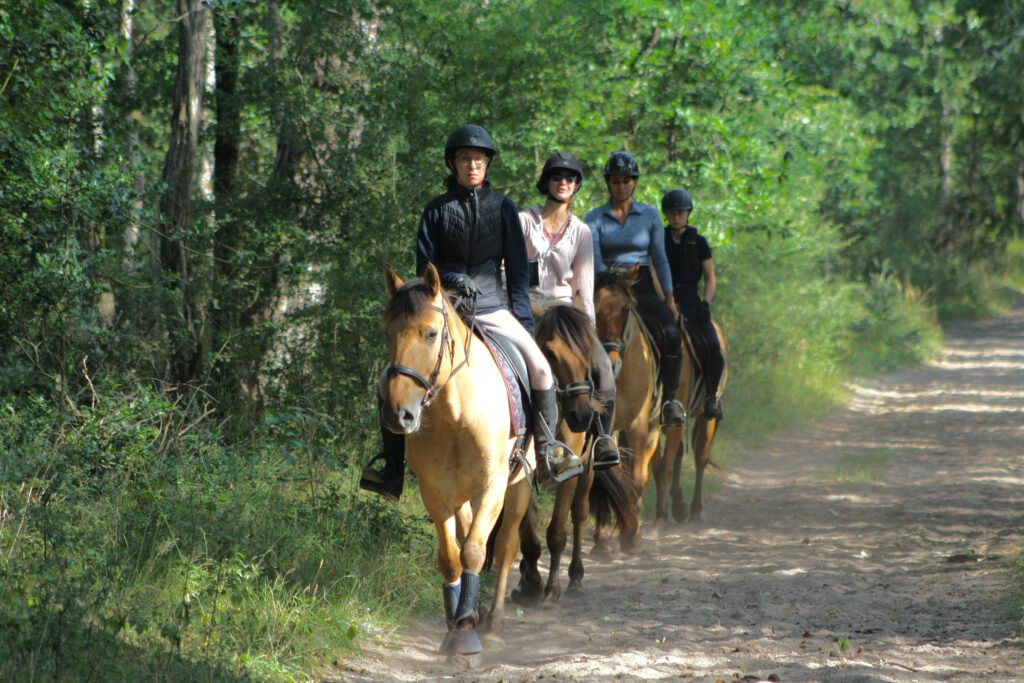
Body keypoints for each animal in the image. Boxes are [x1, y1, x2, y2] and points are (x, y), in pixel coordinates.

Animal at [380, 264, 532, 655]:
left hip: (518, 486)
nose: (398, 414)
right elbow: (451, 557)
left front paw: (466, 632)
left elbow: (476, 552)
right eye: (388, 332)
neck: (456, 413)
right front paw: (457, 624)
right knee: (466, 536)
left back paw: (493, 624)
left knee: (506, 545)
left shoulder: (493, 486)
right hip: (460, 494)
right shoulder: (434, 491)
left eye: (431, 333)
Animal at [516, 305, 634, 602]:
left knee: (580, 513)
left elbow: (558, 531)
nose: (581, 415)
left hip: (589, 465)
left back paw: (576, 576)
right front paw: (530, 581)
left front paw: (550, 590)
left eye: (586, 355)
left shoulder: (571, 470)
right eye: (549, 352)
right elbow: (526, 529)